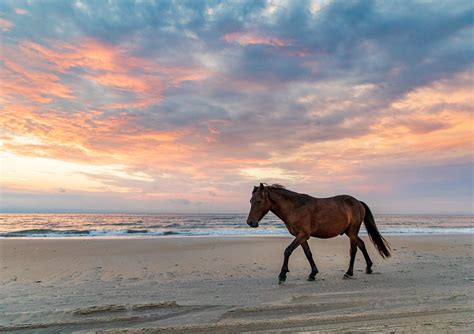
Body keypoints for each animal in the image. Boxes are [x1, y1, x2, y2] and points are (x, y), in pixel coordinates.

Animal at [246, 184, 390, 284]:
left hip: (353, 232)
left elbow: (287, 251)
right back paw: (369, 267)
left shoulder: (302, 235)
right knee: (361, 244)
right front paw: (313, 274)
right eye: (250, 201)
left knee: (353, 250)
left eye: (258, 201)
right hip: (349, 232)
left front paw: (282, 275)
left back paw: (349, 273)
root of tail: (358, 202)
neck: (295, 207)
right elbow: (308, 254)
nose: (250, 222)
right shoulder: (301, 237)